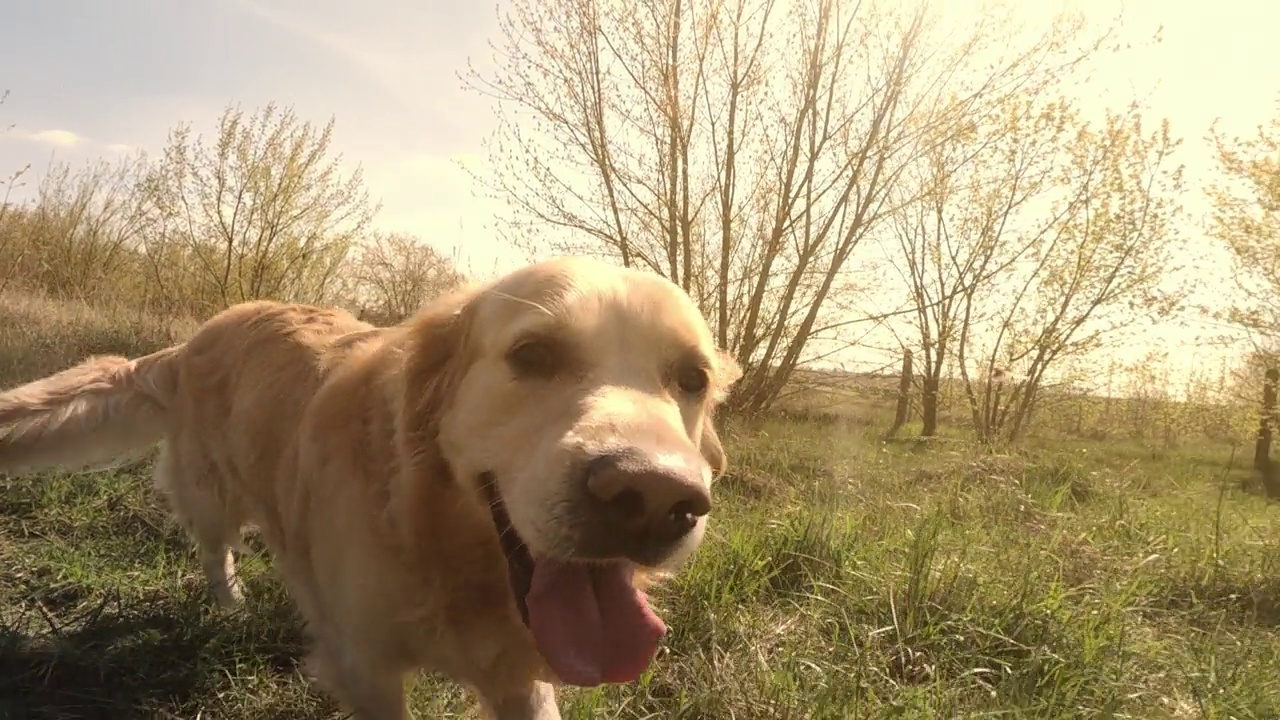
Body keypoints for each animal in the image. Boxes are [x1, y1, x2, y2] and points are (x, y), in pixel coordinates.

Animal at [0, 257, 742, 717]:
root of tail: (196, 337)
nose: (653, 498)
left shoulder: (519, 674)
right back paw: (232, 602)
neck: (448, 553)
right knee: (215, 547)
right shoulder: (367, 667)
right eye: (533, 355)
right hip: (213, 491)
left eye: (693, 378)